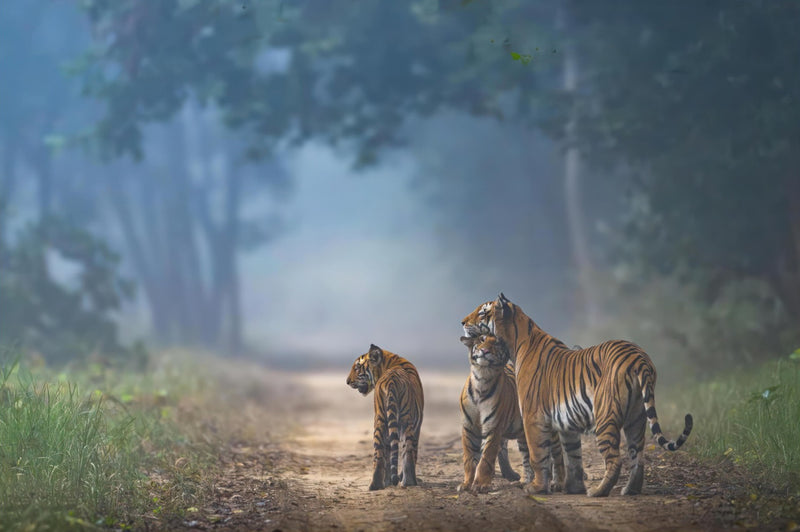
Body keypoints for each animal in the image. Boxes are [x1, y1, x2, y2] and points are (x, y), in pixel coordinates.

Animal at [346, 344, 424, 491]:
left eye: (357, 368)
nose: (347, 382)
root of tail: (391, 380)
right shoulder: (417, 426)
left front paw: (388, 481)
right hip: (405, 420)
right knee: (407, 452)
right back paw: (409, 482)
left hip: (380, 420)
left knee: (380, 454)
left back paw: (375, 485)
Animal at [458, 333, 535, 493]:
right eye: (482, 340)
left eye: (497, 344)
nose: (485, 350)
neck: (481, 378)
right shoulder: (469, 428)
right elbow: (469, 458)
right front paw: (467, 484)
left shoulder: (493, 428)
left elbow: (486, 458)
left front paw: (481, 484)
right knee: (523, 456)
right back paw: (522, 481)